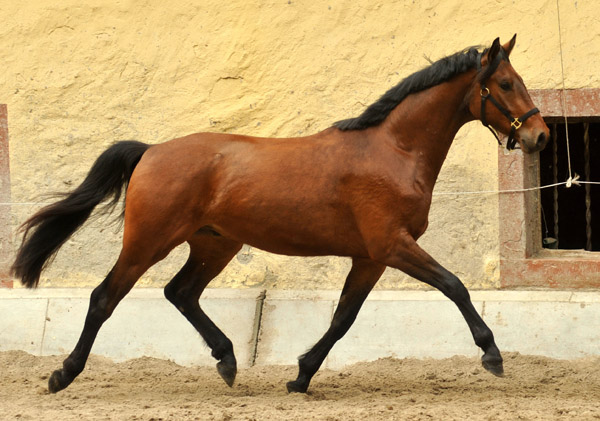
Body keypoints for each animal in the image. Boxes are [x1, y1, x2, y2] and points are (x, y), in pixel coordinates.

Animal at [12, 34, 548, 392]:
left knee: (180, 293)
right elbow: (455, 286)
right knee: (105, 297)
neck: (393, 150)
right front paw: (492, 354)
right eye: (505, 83)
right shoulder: (392, 245)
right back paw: (62, 374)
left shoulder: (370, 258)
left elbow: (343, 318)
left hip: (215, 244)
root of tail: (151, 151)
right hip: (149, 241)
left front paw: (301, 376)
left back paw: (227, 361)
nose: (540, 136)